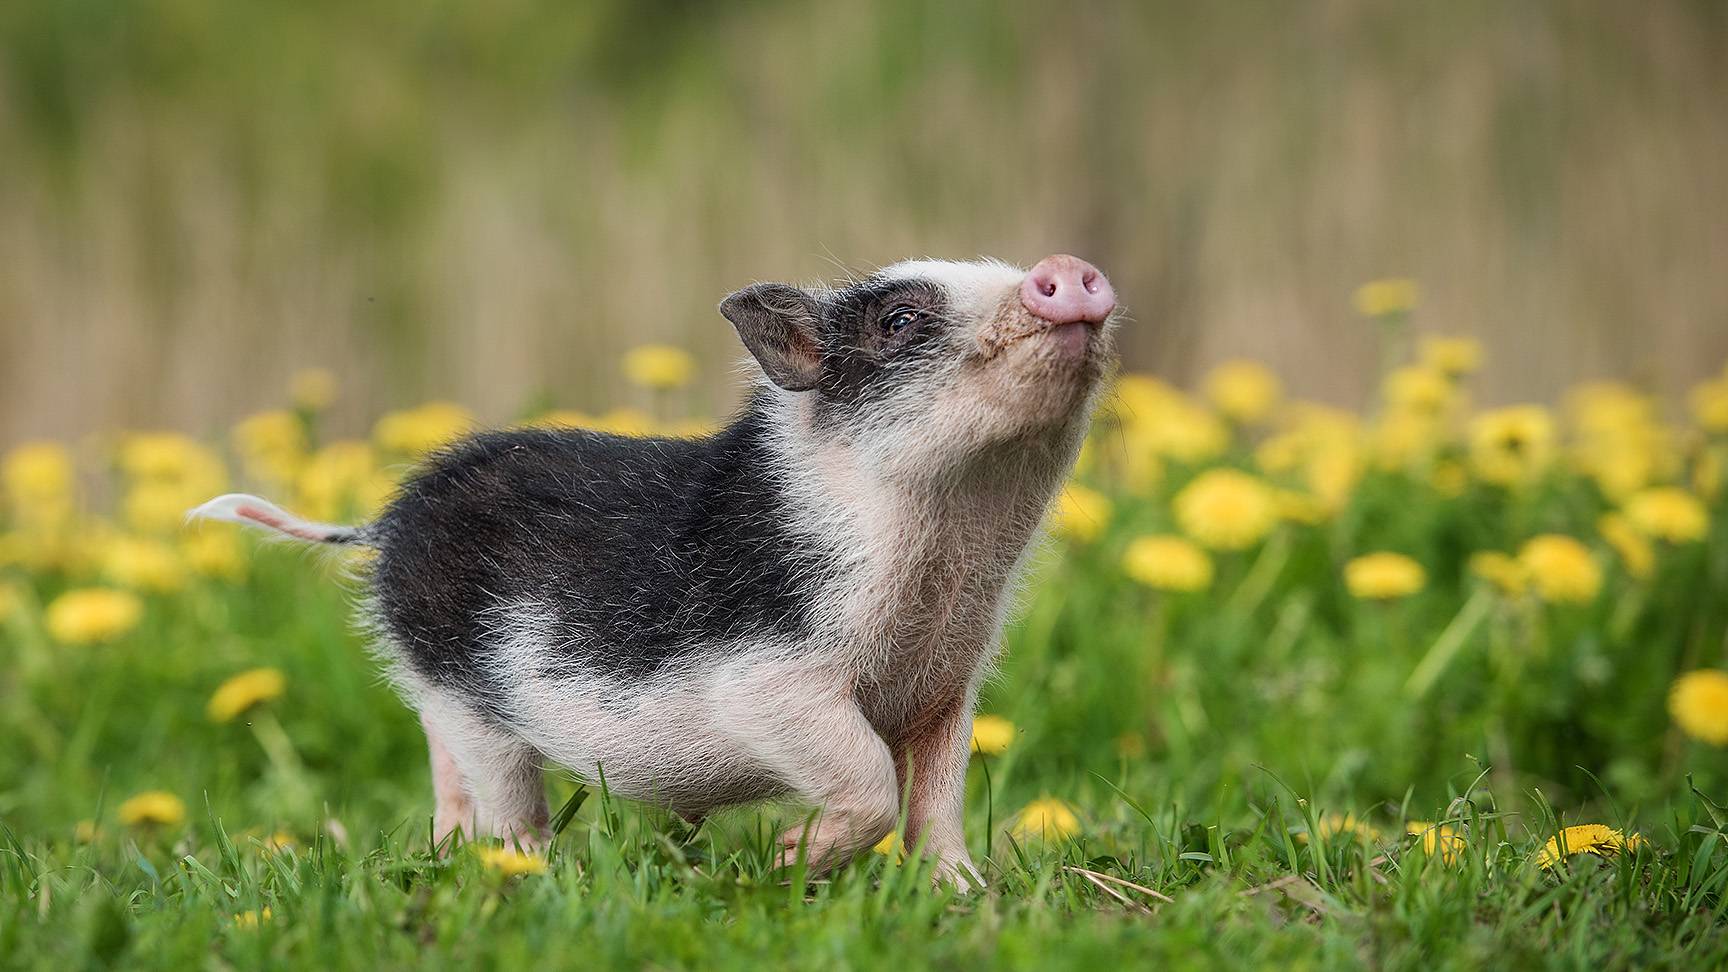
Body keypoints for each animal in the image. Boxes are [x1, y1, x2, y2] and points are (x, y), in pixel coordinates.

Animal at [191, 253, 1118, 890]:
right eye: (896, 320)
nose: (1066, 271)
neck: (951, 555)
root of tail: (388, 522)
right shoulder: (767, 677)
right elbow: (868, 780)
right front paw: (786, 864)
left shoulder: (947, 686)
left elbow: (937, 801)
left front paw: (967, 897)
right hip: (458, 681)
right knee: (503, 792)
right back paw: (530, 875)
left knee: (448, 771)